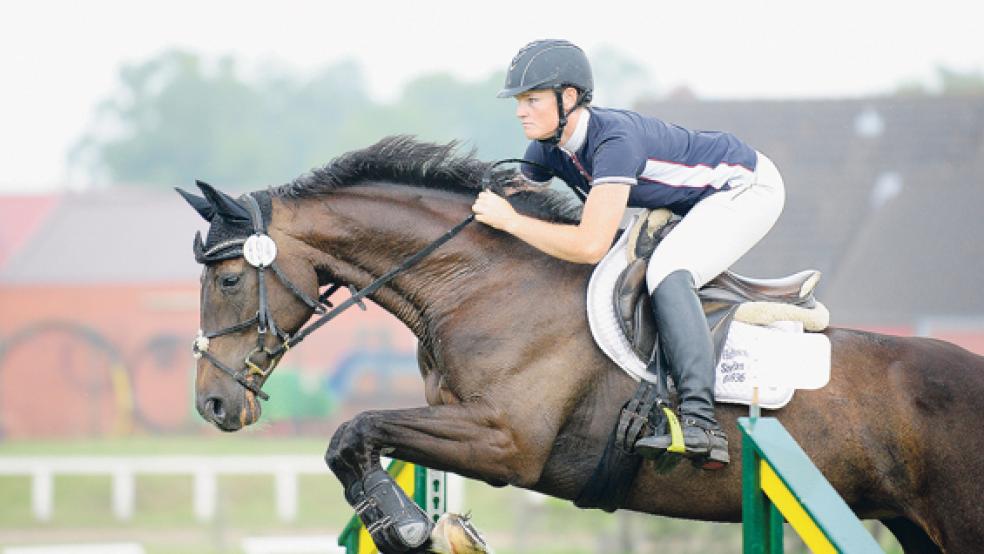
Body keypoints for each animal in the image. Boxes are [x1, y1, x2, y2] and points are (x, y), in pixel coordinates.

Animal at [179, 136, 984, 548]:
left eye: (227, 279)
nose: (213, 404)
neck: (479, 285)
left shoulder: (505, 440)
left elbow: (354, 429)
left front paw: (405, 524)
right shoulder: (460, 422)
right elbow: (361, 439)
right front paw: (417, 522)